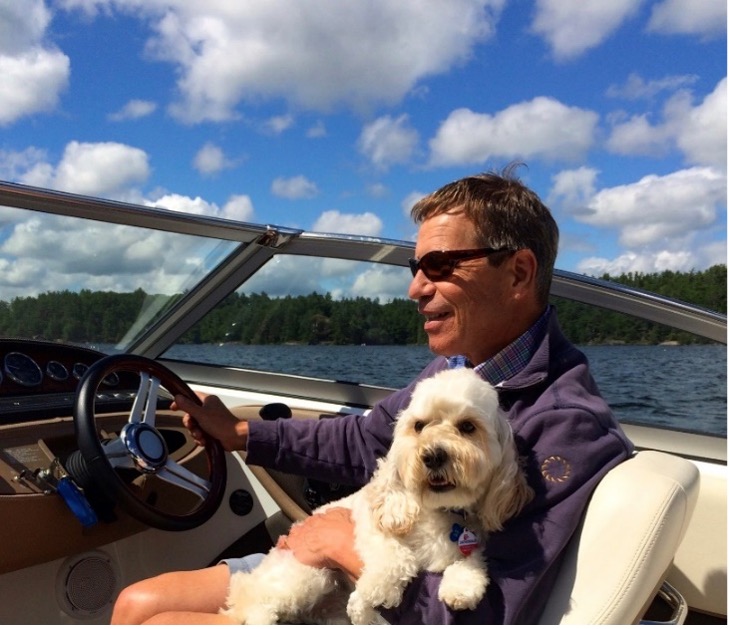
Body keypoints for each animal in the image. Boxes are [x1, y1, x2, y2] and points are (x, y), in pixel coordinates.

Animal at [219, 368, 532, 624]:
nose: (432, 455)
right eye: (419, 426)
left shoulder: (471, 540)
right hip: (306, 575)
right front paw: (373, 594)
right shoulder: (372, 526)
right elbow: (396, 557)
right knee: (256, 604)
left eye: (468, 427)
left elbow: (472, 559)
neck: (439, 510)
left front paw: (463, 584)